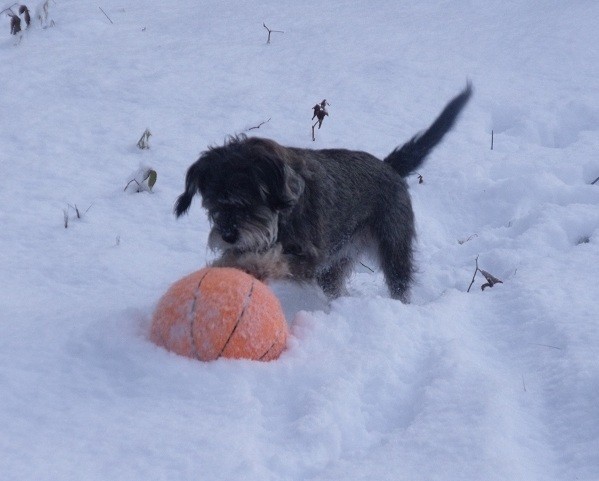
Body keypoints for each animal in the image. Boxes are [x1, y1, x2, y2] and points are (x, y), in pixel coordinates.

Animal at [175, 82, 474, 300]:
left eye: (248, 201)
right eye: (213, 205)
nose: (227, 236)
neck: (285, 208)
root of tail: (389, 166)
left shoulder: (307, 256)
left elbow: (273, 259)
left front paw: (242, 265)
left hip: (393, 246)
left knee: (399, 283)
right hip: (338, 261)